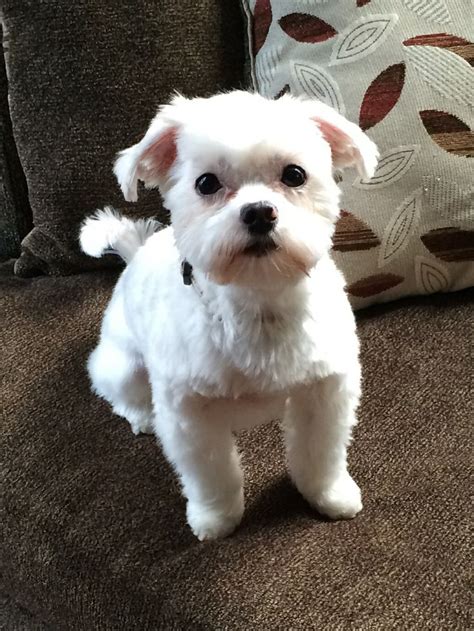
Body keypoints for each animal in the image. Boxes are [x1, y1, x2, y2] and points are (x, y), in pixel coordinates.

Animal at [80, 91, 378, 540]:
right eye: (206, 183)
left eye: (294, 175)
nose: (259, 212)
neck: (258, 303)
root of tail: (135, 255)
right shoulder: (189, 414)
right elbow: (211, 473)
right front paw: (215, 518)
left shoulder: (325, 389)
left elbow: (319, 452)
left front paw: (328, 494)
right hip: (124, 366)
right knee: (120, 391)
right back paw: (141, 416)